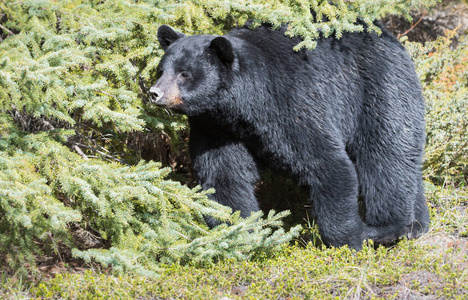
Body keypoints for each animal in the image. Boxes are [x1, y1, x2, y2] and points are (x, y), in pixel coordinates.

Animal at [151, 22, 432, 250]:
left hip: (378, 89)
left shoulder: (291, 102)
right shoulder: (215, 126)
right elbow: (223, 176)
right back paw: (417, 225)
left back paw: (386, 229)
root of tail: (389, 36)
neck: (243, 106)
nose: (155, 93)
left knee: (385, 155)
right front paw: (240, 234)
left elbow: (328, 164)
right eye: (161, 70)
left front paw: (348, 240)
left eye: (184, 73)